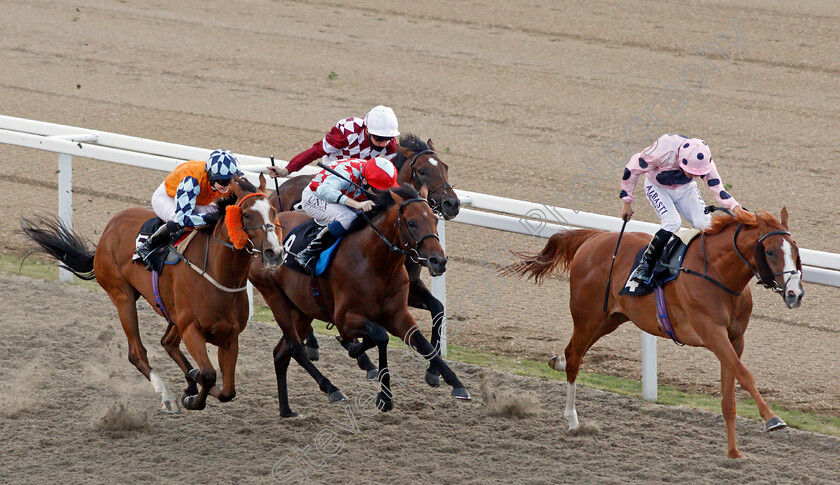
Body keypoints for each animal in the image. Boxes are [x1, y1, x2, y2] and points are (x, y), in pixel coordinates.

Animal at [21, 174, 284, 412]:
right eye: (246, 214)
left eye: (272, 211)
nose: (275, 253)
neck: (219, 274)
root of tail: (109, 228)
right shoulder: (191, 329)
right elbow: (209, 375)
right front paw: (192, 398)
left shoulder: (230, 336)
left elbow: (227, 391)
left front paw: (194, 387)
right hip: (123, 297)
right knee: (137, 353)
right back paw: (167, 396)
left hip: (171, 312)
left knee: (167, 342)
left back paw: (189, 379)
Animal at [249, 183, 472, 418]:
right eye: (411, 223)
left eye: (435, 220)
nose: (438, 261)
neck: (374, 262)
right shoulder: (344, 318)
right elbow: (381, 336)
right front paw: (384, 396)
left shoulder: (398, 314)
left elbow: (422, 343)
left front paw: (455, 383)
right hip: (275, 297)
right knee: (294, 348)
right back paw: (332, 389)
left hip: (301, 309)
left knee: (281, 353)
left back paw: (287, 410)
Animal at [272, 132, 460, 386]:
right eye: (421, 171)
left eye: (445, 167)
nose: (452, 204)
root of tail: (277, 192)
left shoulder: (409, 286)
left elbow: (438, 308)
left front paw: (433, 371)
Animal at [502, 208, 804, 458]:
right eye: (770, 252)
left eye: (795, 250)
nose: (795, 293)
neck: (718, 274)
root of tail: (594, 237)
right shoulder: (712, 334)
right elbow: (745, 374)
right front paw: (773, 419)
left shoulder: (734, 340)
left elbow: (730, 394)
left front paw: (733, 453)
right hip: (588, 317)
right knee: (576, 358)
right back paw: (573, 420)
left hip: (611, 319)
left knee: (571, 352)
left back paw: (558, 363)